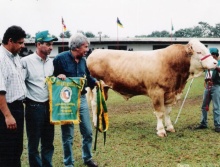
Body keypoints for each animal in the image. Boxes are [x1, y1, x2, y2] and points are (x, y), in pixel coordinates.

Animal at [85, 39, 217, 137]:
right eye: (199, 52)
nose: (215, 63)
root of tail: (95, 52)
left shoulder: (170, 93)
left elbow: (168, 112)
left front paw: (170, 127)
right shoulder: (156, 92)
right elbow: (160, 113)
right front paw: (161, 131)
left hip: (104, 88)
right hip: (96, 87)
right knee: (94, 104)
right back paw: (96, 124)